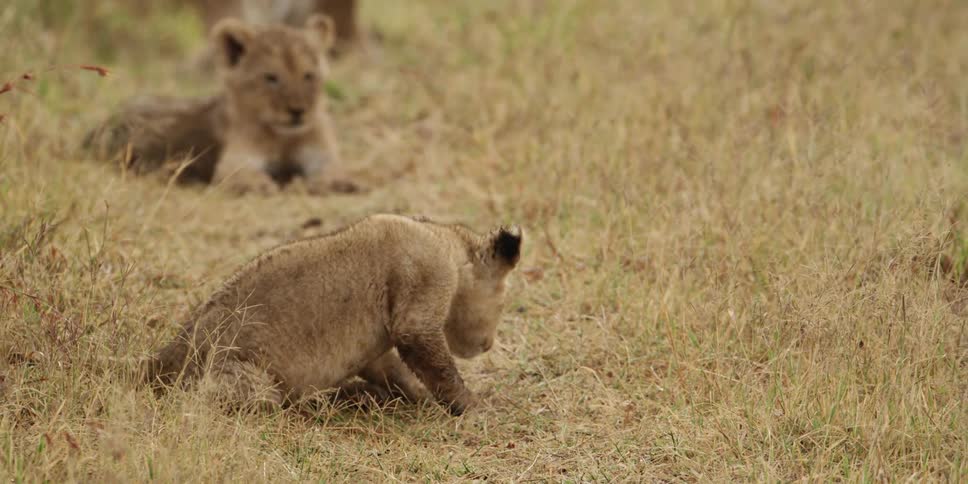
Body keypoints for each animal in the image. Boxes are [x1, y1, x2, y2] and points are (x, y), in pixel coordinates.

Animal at [87, 15, 356, 195]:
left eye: (308, 75)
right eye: (271, 78)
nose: (297, 111)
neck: (283, 137)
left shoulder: (322, 153)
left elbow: (334, 169)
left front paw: (335, 182)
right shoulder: (232, 164)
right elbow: (243, 175)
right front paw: (259, 185)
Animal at [146, 214, 523, 415]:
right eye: (503, 302)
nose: (488, 345)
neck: (444, 242)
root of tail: (163, 358)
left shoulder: (378, 348)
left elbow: (397, 372)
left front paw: (418, 394)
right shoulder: (419, 305)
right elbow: (442, 370)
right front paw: (475, 407)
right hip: (242, 380)